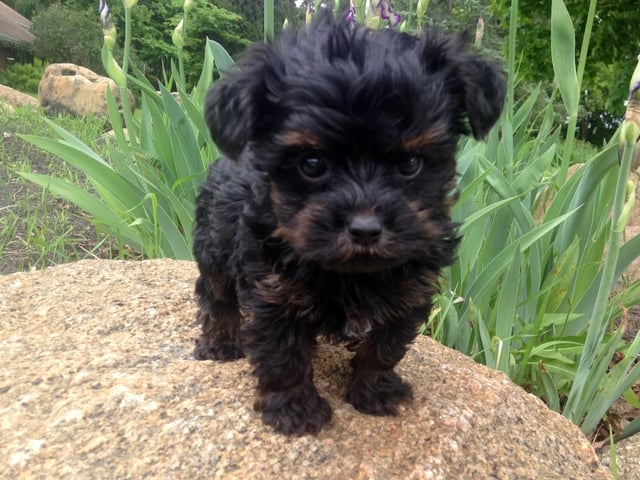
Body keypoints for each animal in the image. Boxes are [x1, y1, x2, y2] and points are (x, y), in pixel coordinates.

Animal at [192, 11, 502, 436]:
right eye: (312, 164)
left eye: (410, 164)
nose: (366, 229)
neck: (353, 273)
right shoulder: (274, 290)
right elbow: (282, 353)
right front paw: (294, 407)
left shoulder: (409, 290)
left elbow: (385, 345)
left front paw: (374, 390)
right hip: (214, 244)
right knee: (215, 292)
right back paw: (220, 342)